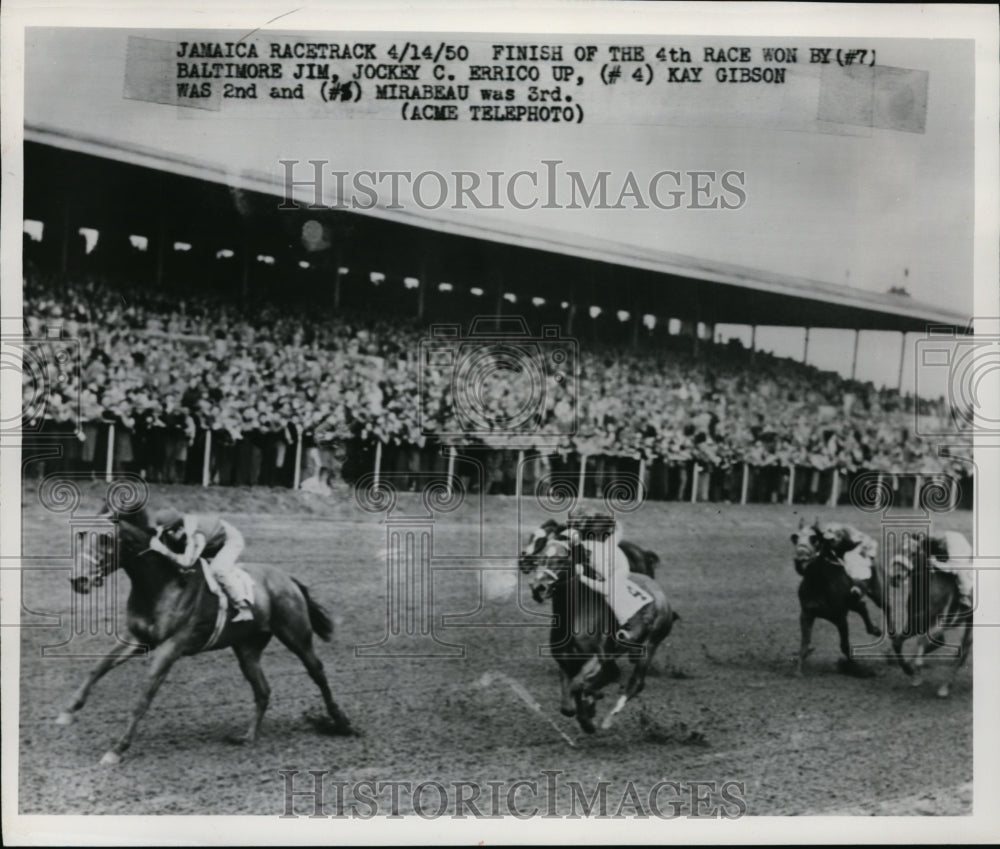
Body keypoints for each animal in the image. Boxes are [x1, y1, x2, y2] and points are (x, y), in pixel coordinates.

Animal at [58, 506, 356, 764]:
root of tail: (288, 579)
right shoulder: (138, 638)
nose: (78, 580)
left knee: (317, 672)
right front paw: (68, 711)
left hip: (296, 635)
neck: (162, 583)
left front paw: (117, 749)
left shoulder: (171, 646)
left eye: (106, 539)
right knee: (263, 690)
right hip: (247, 649)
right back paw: (248, 737)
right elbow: (99, 667)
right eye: (81, 535)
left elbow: (144, 696)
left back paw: (341, 722)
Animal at [520, 532, 676, 732]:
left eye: (562, 560)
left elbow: (580, 685)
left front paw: (588, 720)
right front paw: (587, 709)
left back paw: (608, 719)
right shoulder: (567, 661)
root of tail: (658, 591)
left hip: (651, 643)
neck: (577, 613)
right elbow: (568, 704)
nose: (538, 588)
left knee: (636, 683)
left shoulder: (598, 657)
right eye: (541, 558)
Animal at [792, 516, 880, 676]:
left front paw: (855, 668)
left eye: (814, 539)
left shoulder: (840, 618)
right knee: (861, 606)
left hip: (873, 593)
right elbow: (805, 643)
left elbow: (844, 645)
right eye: (795, 538)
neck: (819, 583)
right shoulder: (807, 614)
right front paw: (798, 669)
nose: (800, 561)